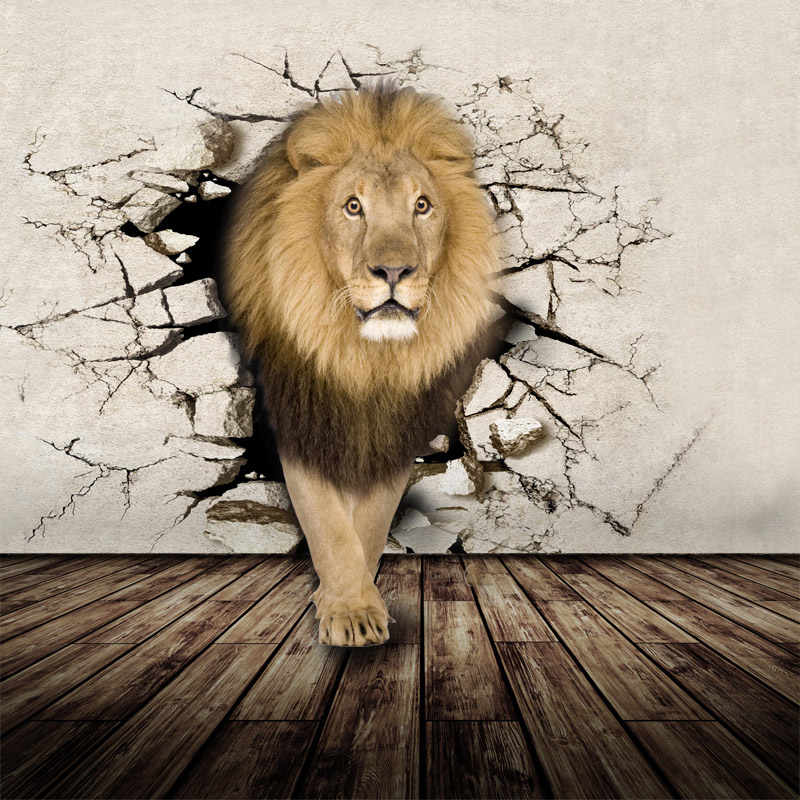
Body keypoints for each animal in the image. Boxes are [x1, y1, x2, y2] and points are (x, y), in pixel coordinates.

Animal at [222, 79, 507, 647]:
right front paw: (349, 614)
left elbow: (371, 520)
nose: (394, 271)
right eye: (353, 206)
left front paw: (357, 602)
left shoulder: (397, 424)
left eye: (423, 205)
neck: (366, 359)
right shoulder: (298, 409)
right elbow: (327, 522)